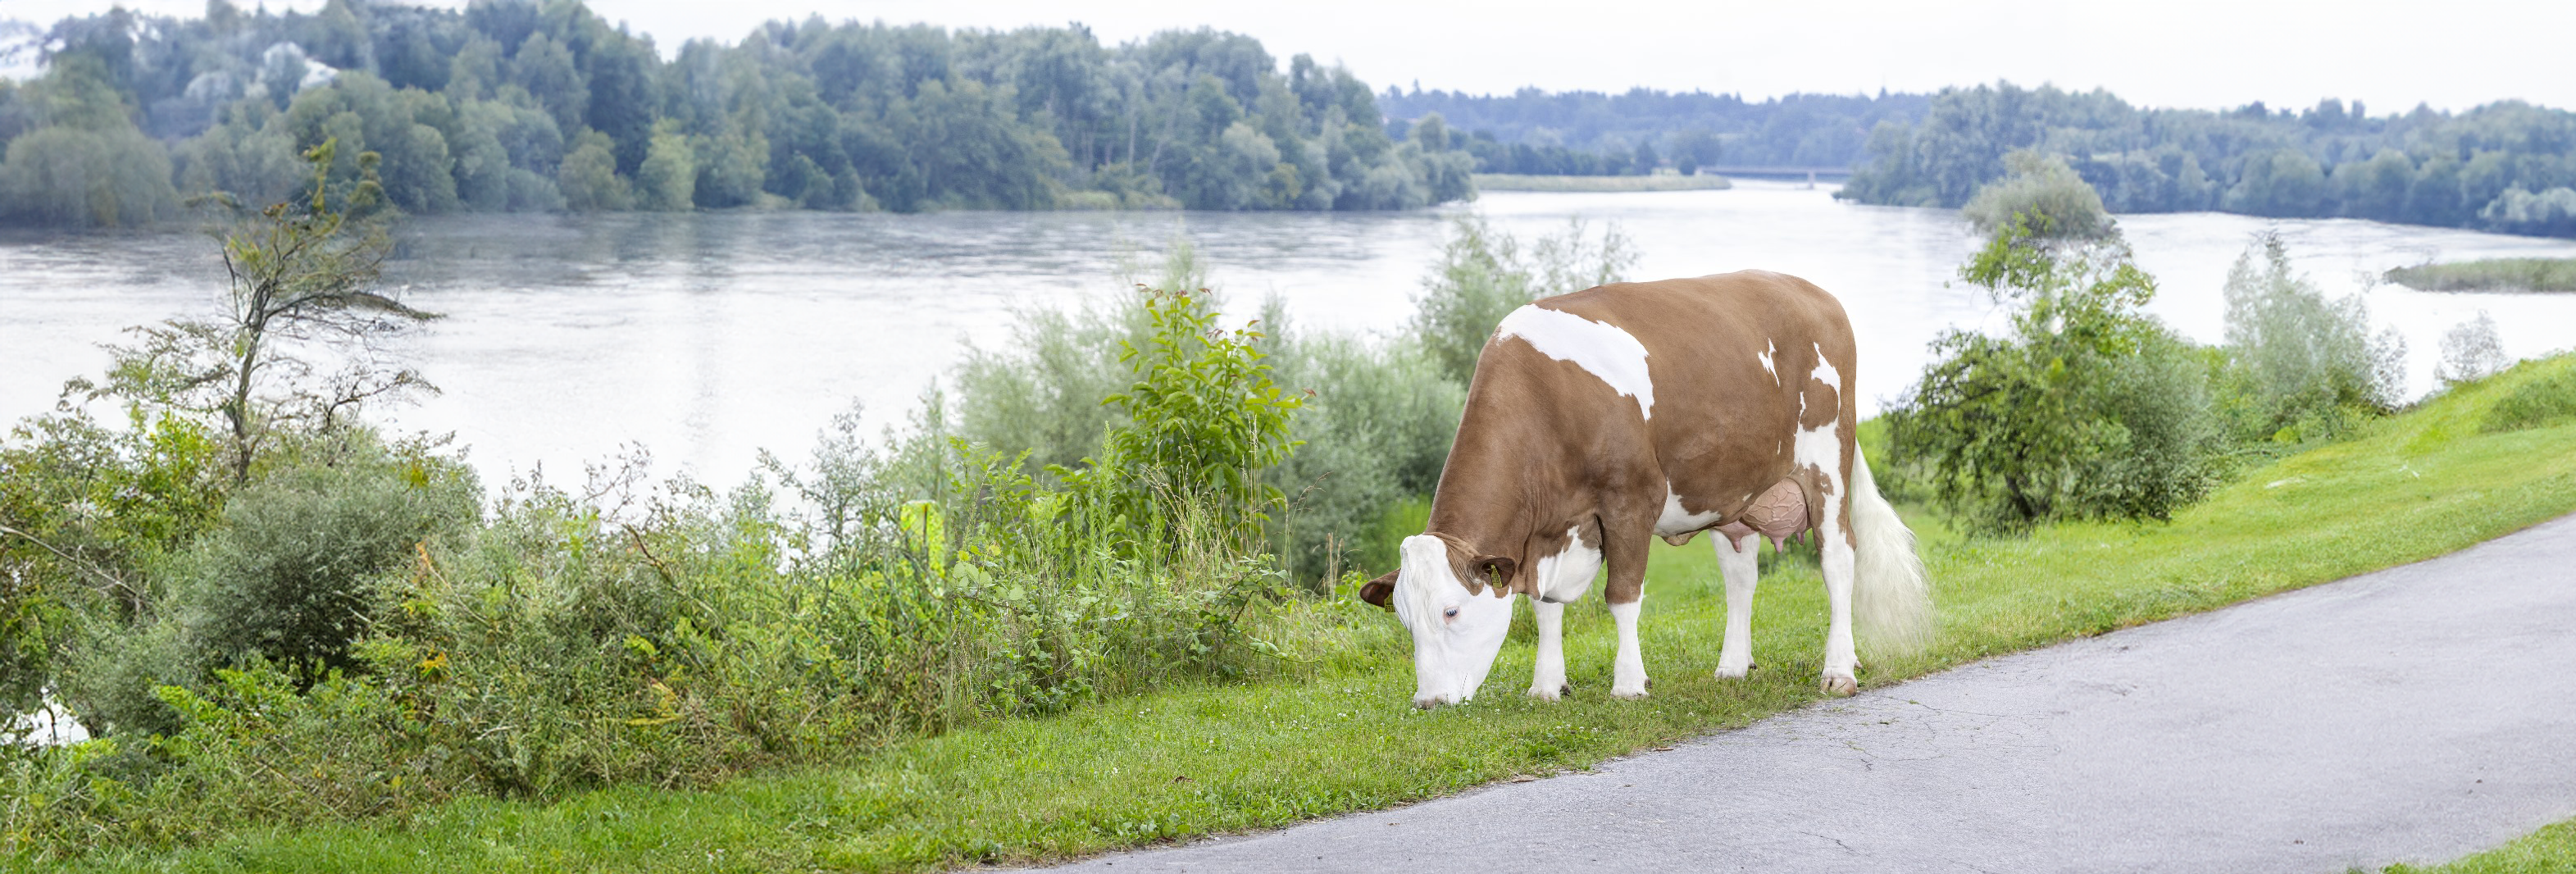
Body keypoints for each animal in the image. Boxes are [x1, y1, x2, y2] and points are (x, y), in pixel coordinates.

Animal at [1359, 271, 1927, 706]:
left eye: (1451, 610)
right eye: (1404, 619)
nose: (1428, 702)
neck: (1546, 402)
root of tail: (1813, 292)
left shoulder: (1631, 501)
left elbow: (1623, 596)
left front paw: (1629, 685)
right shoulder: (1550, 533)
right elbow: (1545, 606)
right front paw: (1546, 686)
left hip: (1827, 461)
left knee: (1838, 559)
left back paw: (1839, 669)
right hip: (1733, 491)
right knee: (1741, 576)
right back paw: (1732, 666)